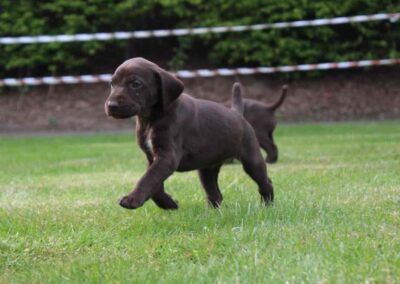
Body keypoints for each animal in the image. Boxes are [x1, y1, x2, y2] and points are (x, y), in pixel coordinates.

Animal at [104, 57, 274, 210]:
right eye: (112, 83)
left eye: (135, 84)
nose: (111, 105)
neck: (151, 119)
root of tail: (237, 113)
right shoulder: (152, 157)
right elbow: (155, 184)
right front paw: (169, 203)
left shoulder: (167, 157)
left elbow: (149, 179)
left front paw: (132, 199)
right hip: (207, 168)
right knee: (215, 193)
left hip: (252, 159)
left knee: (265, 182)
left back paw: (268, 204)